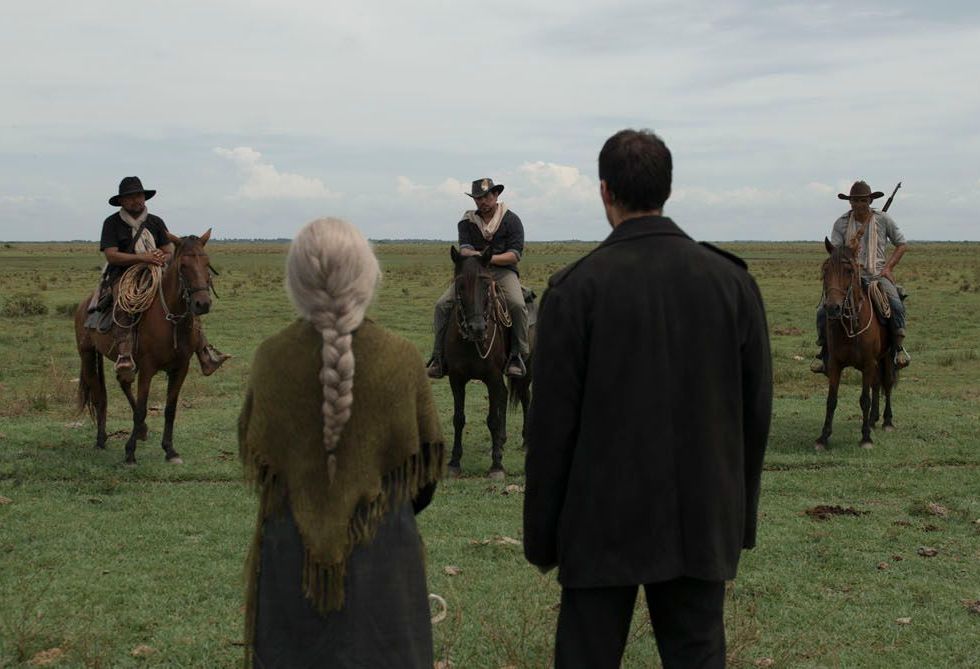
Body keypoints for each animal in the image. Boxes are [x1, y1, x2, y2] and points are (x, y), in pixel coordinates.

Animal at [73, 229, 216, 464]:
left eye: (207, 262)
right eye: (183, 265)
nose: (202, 303)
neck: (171, 322)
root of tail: (85, 304)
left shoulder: (180, 369)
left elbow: (170, 409)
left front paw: (170, 450)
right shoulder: (148, 368)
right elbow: (141, 408)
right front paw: (130, 452)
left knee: (123, 381)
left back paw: (141, 431)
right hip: (87, 354)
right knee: (99, 395)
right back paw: (101, 439)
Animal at [443, 246, 533, 479]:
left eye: (486, 285)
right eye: (459, 284)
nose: (477, 328)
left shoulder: (492, 377)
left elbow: (492, 419)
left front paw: (496, 465)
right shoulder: (456, 379)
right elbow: (458, 418)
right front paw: (454, 462)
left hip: (526, 371)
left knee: (525, 397)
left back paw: (525, 441)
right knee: (504, 397)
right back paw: (501, 440)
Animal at [815, 236, 897, 450]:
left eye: (849, 271)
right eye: (825, 270)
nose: (832, 308)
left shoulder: (868, 363)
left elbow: (864, 399)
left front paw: (866, 438)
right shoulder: (835, 364)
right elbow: (831, 400)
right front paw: (823, 437)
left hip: (886, 357)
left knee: (886, 384)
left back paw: (886, 421)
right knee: (876, 385)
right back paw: (873, 419)